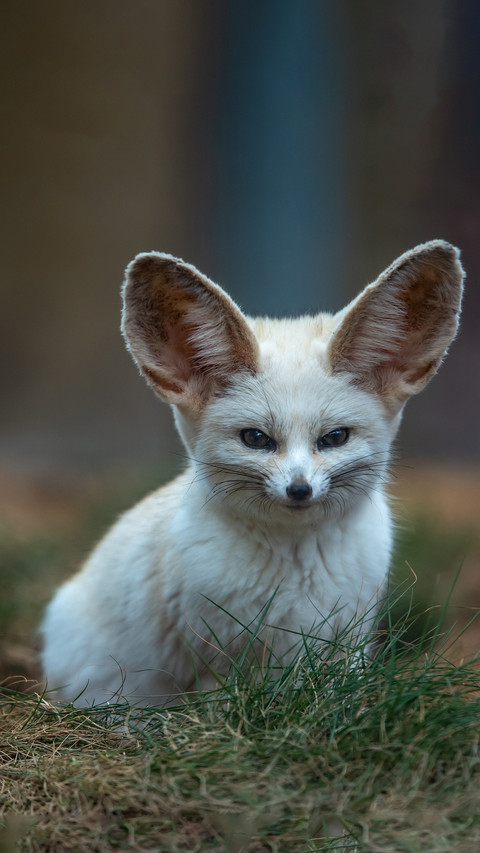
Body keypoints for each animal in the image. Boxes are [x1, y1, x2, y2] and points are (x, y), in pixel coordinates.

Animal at [41, 240, 464, 707]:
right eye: (256, 439)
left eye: (334, 438)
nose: (299, 489)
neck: (298, 573)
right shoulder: (216, 654)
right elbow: (225, 704)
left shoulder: (347, 641)